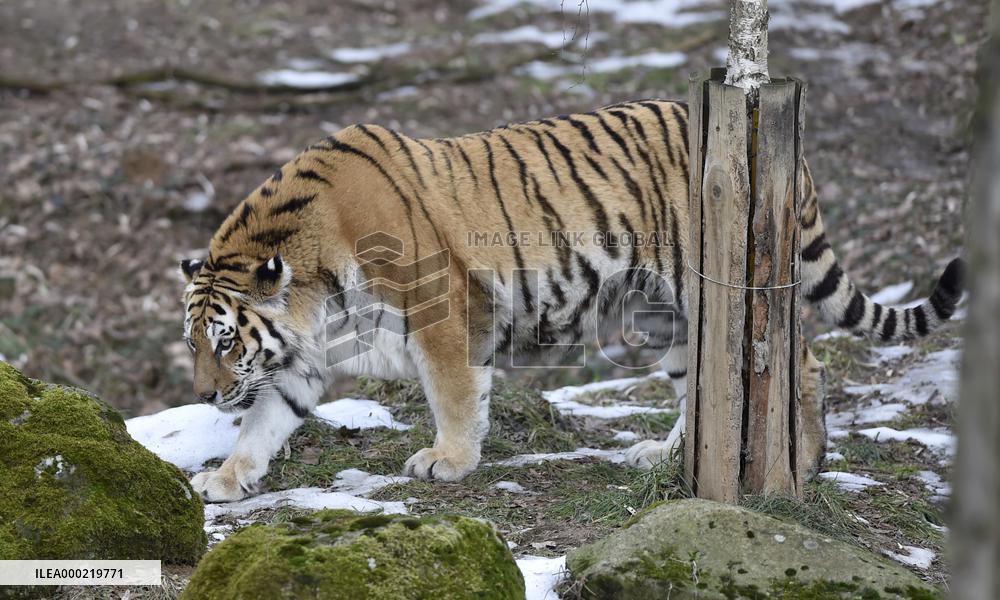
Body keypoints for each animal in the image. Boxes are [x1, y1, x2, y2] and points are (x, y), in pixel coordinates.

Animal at [179, 99, 964, 502]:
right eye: (195, 343)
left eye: (226, 341)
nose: (207, 397)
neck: (315, 285)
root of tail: (784, 147)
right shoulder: (303, 357)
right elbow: (267, 421)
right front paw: (228, 476)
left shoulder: (445, 311)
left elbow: (455, 394)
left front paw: (449, 461)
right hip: (663, 313)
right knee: (701, 385)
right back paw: (664, 457)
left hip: (712, 287)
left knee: (798, 359)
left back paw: (802, 461)